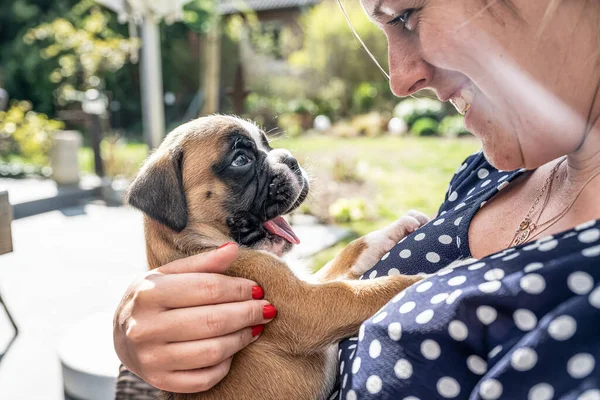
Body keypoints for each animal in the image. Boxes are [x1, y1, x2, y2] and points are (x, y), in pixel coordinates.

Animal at [125, 115, 426, 400]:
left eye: (267, 145)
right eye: (241, 160)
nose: (291, 159)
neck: (200, 245)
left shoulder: (310, 281)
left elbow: (350, 252)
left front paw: (393, 229)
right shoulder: (307, 303)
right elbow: (364, 291)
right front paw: (424, 281)